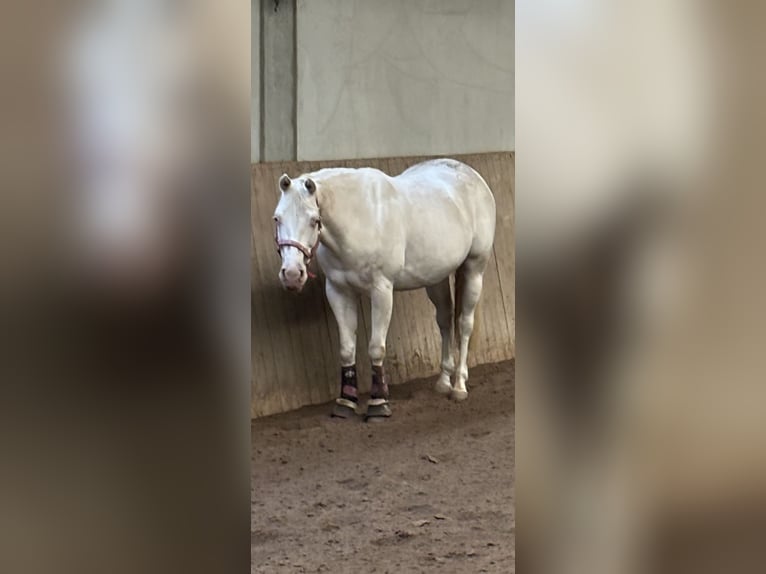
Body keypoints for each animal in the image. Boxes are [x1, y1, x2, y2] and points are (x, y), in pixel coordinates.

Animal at [274, 160, 498, 420]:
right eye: (277, 218)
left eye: (313, 220)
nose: (292, 274)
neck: (358, 217)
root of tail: (471, 175)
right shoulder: (339, 291)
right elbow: (346, 348)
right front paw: (346, 403)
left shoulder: (381, 290)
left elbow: (376, 347)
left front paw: (378, 404)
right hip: (437, 278)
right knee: (445, 321)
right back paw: (443, 382)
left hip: (474, 268)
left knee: (464, 324)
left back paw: (459, 387)